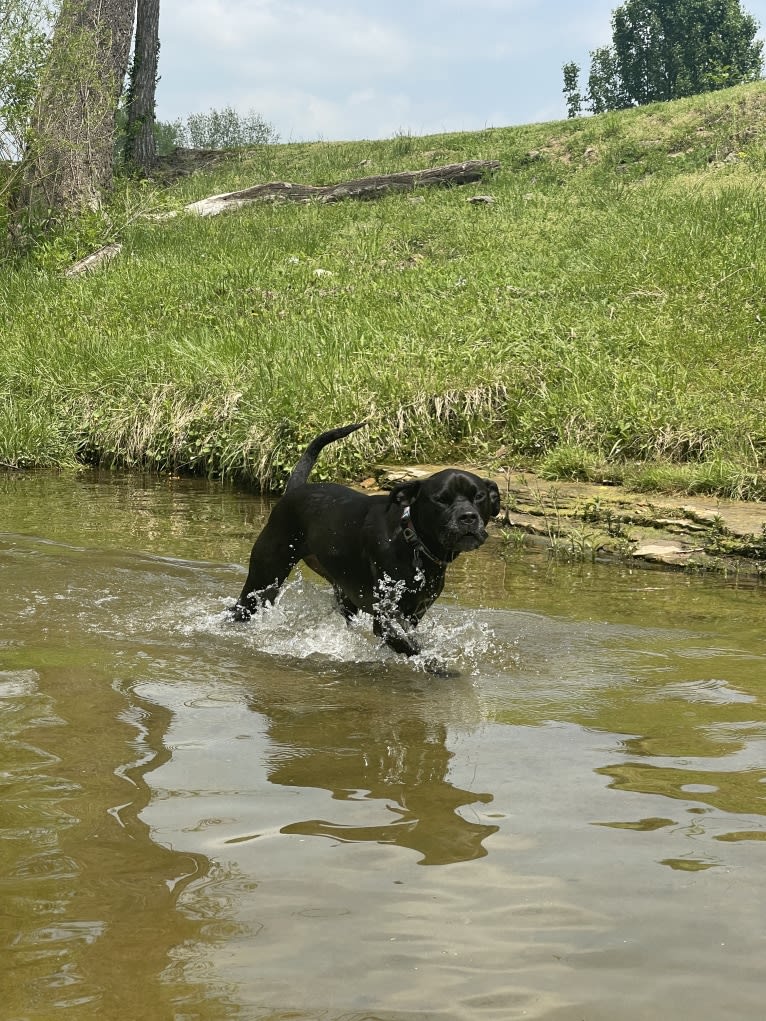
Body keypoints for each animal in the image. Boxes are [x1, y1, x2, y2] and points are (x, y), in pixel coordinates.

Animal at [233, 426, 504, 657]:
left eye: (479, 496)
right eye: (441, 499)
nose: (468, 517)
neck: (413, 544)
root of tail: (293, 490)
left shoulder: (414, 614)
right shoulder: (385, 618)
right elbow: (416, 650)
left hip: (342, 591)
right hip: (263, 580)